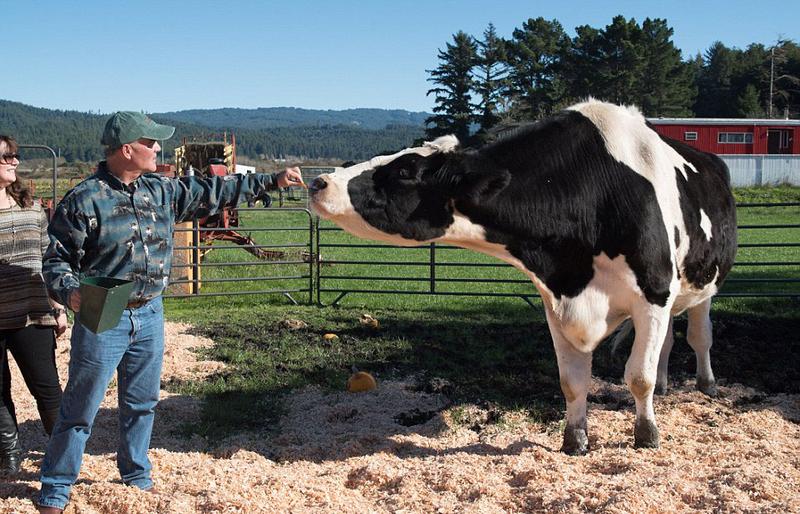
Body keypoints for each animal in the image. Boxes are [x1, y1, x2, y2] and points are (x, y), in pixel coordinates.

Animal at [308, 98, 736, 450]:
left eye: (405, 170)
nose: (318, 181)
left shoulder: (652, 293)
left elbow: (638, 375)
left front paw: (646, 437)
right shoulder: (557, 300)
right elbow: (572, 381)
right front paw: (575, 440)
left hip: (700, 286)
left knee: (699, 336)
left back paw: (707, 384)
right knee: (666, 343)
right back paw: (665, 385)